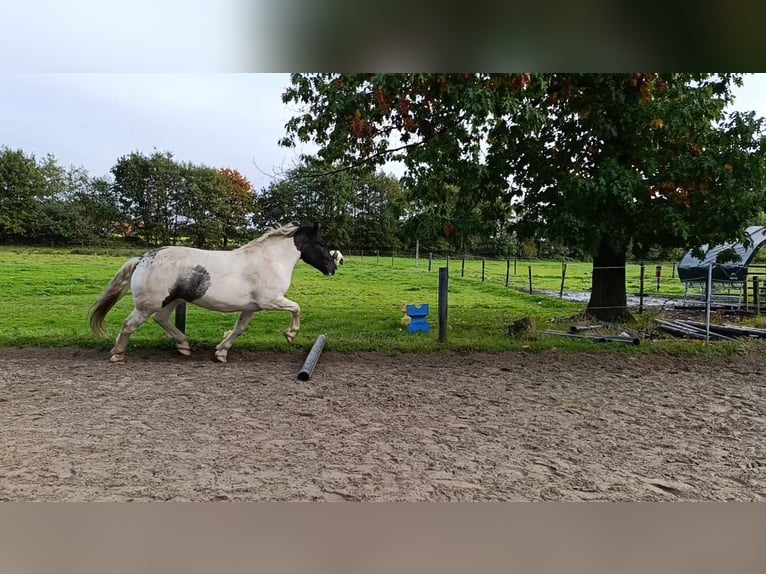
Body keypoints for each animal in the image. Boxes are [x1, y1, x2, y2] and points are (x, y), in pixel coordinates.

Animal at [89, 223, 336, 363]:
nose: (332, 267)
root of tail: (143, 258)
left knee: (161, 319)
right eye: (321, 242)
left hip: (172, 300)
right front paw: (290, 334)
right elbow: (296, 308)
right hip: (147, 305)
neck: (271, 260)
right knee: (129, 325)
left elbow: (239, 330)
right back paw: (117, 355)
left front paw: (221, 353)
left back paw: (184, 346)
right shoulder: (271, 301)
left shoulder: (251, 307)